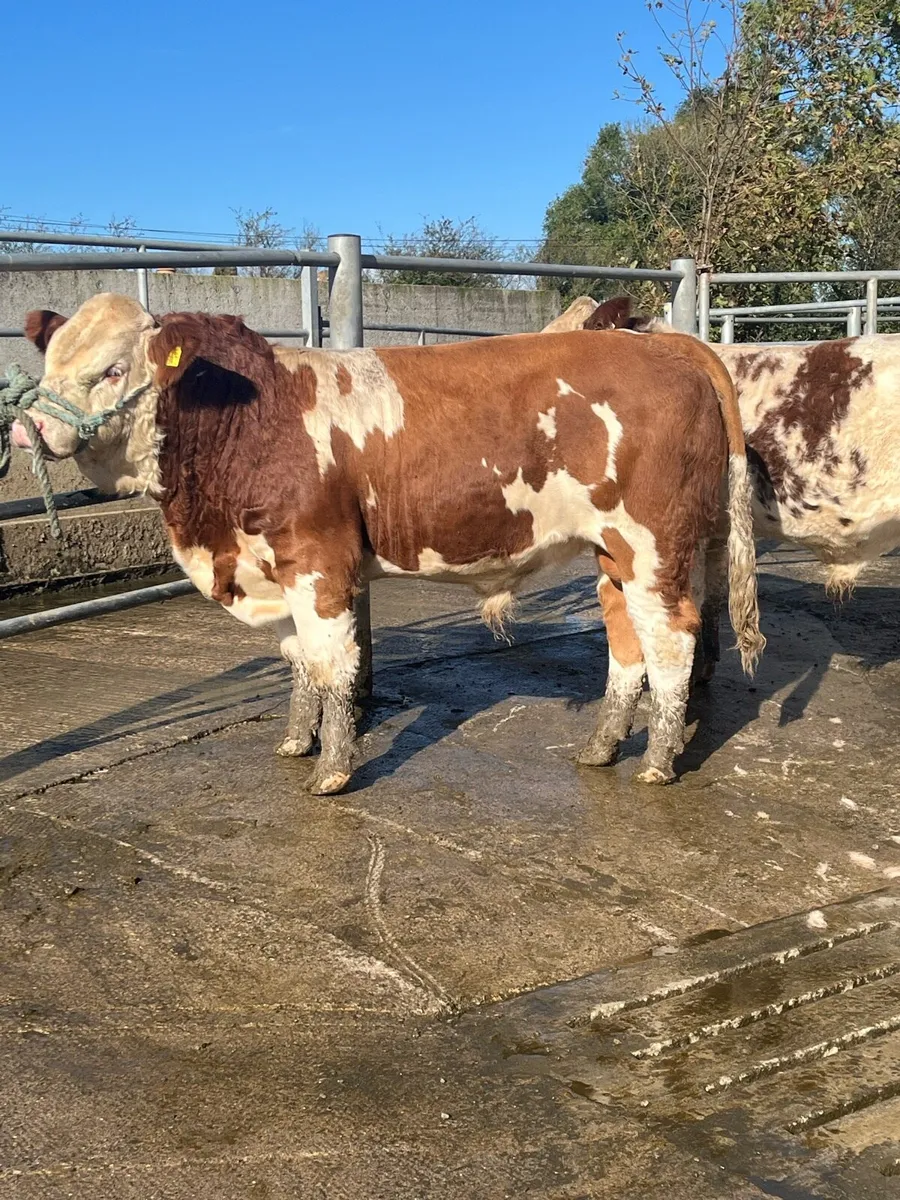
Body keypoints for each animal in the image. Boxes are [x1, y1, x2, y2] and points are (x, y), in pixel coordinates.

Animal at [11, 293, 763, 793]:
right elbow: (300, 664)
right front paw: (296, 741)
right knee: (626, 642)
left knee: (673, 643)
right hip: (614, 555)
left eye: (113, 369)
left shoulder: (319, 561)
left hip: (653, 546)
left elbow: (335, 665)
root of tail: (659, 343)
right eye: (49, 363)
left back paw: (657, 764)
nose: (27, 428)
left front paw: (333, 770)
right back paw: (601, 748)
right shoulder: (271, 569)